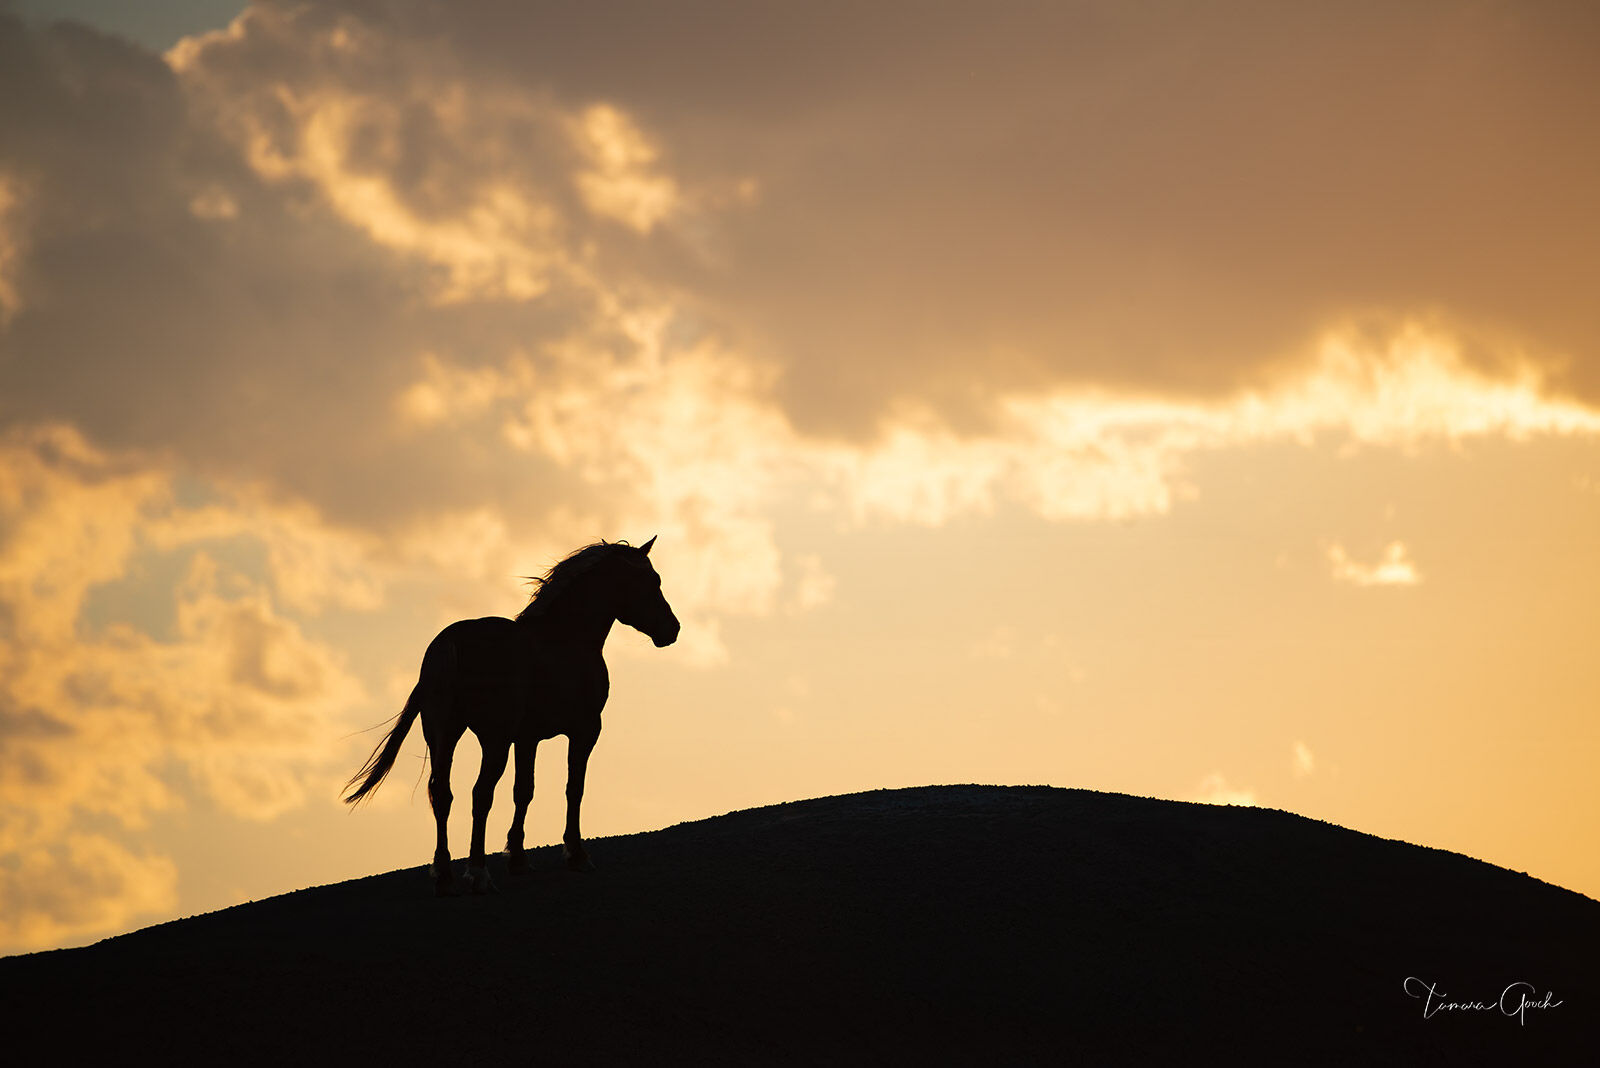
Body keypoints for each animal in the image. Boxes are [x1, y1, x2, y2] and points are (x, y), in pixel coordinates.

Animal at [342, 536, 680, 894]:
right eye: (651, 581)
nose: (672, 629)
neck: (565, 638)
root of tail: (450, 643)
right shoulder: (585, 730)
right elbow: (573, 788)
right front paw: (576, 854)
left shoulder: (527, 738)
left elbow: (524, 791)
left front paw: (517, 858)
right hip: (494, 740)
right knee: (480, 794)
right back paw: (478, 871)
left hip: (443, 736)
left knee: (442, 795)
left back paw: (445, 874)